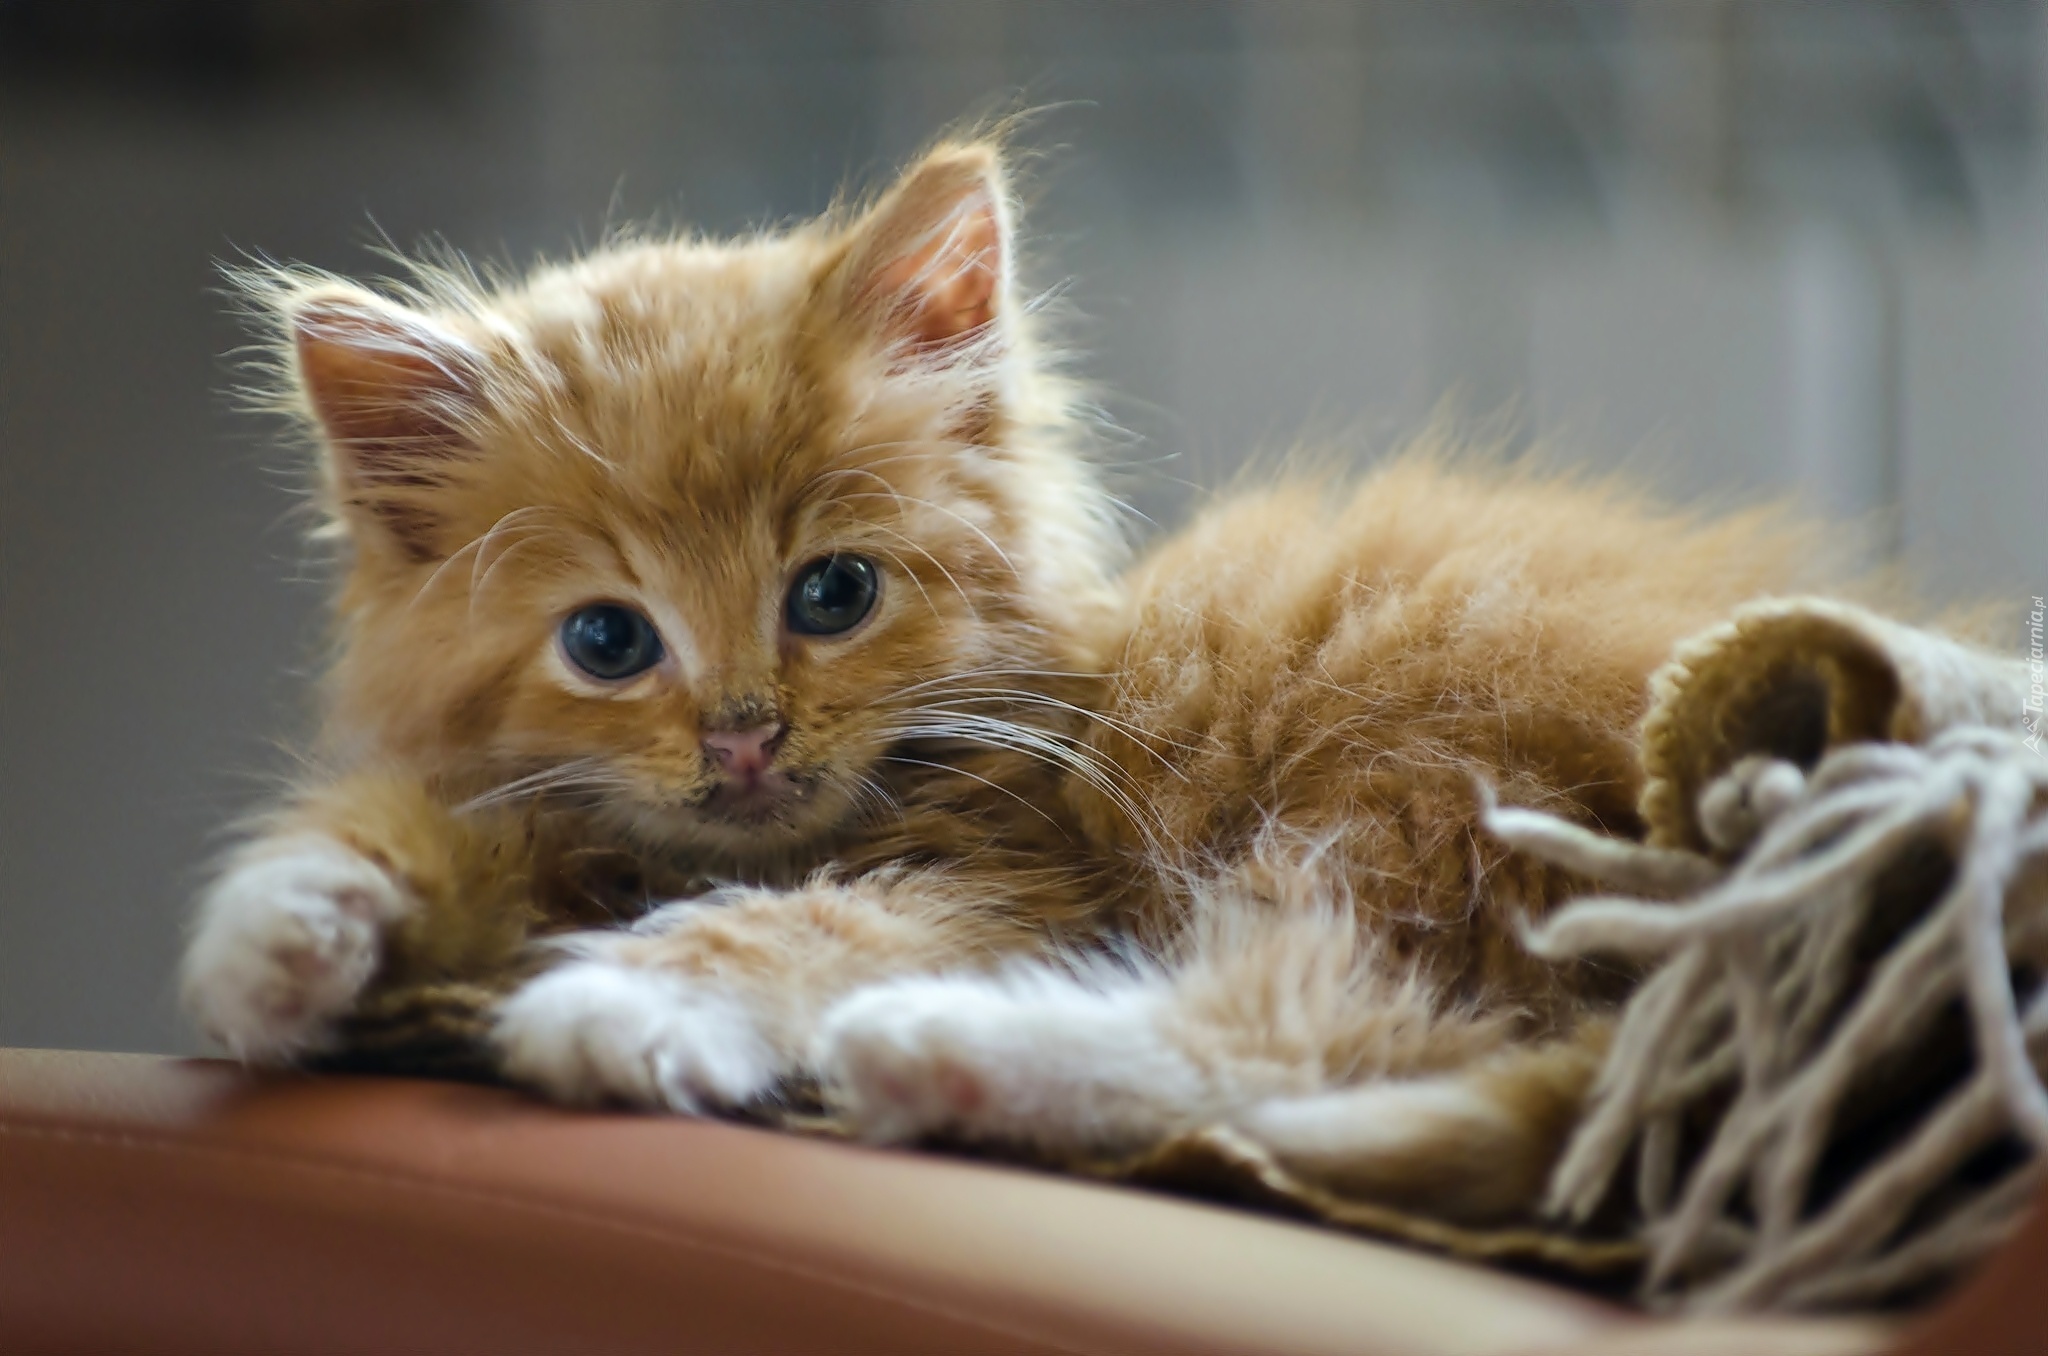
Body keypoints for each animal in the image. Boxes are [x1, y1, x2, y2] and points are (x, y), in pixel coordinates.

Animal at [184, 143, 1835, 1229]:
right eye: (607, 642)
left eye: (832, 596)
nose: (744, 738)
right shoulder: (566, 809)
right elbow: (446, 833)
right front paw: (289, 929)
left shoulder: (1015, 876)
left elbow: (802, 920)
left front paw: (628, 993)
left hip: (1407, 788)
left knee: (1336, 1020)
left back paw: (938, 1050)